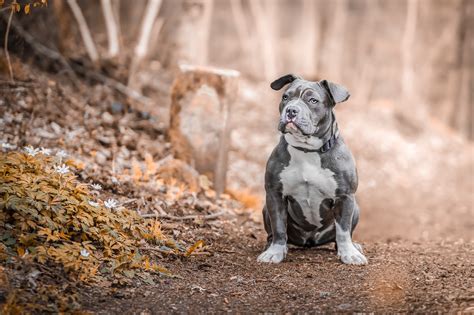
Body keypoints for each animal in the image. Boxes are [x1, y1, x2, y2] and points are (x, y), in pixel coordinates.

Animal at [260, 74, 366, 266]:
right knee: (274, 233)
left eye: (313, 100)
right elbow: (278, 227)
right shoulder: (274, 194)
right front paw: (275, 252)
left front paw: (349, 253)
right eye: (285, 97)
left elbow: (343, 230)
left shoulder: (345, 196)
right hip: (265, 208)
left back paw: (351, 247)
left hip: (356, 209)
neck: (307, 150)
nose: (291, 110)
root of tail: (310, 241)